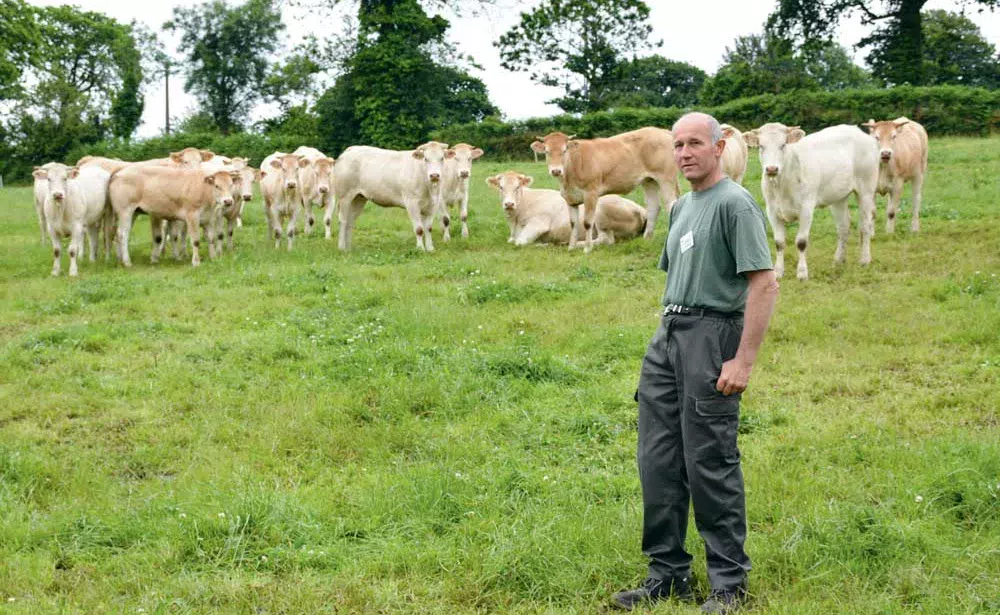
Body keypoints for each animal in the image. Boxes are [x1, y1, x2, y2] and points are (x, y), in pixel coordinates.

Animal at [108, 166, 238, 268]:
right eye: (217, 186)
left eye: (231, 185)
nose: (228, 201)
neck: (204, 191)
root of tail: (121, 170)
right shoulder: (192, 216)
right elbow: (195, 241)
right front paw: (196, 262)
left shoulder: (209, 219)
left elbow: (211, 239)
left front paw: (213, 258)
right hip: (125, 210)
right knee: (122, 234)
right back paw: (127, 262)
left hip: (133, 212)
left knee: (121, 234)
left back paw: (121, 260)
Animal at [532, 126, 680, 251]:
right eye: (547, 151)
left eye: (564, 151)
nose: (556, 171)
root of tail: (660, 131)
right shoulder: (570, 198)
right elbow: (573, 223)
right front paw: (571, 248)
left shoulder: (591, 193)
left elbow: (587, 222)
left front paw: (587, 249)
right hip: (649, 181)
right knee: (653, 207)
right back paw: (647, 238)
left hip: (666, 178)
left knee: (671, 205)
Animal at [744, 123, 876, 282]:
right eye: (761, 146)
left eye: (783, 145)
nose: (771, 169)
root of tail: (856, 130)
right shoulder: (771, 210)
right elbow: (779, 243)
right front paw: (778, 272)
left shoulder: (806, 208)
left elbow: (801, 242)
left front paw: (802, 273)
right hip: (838, 197)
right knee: (843, 227)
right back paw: (838, 260)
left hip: (866, 190)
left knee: (865, 226)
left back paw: (865, 259)